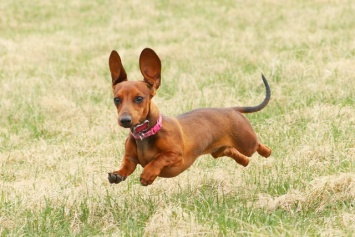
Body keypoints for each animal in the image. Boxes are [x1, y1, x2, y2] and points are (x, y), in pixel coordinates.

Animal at [107, 48, 272, 185]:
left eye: (139, 98)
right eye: (116, 99)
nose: (125, 120)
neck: (145, 135)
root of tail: (231, 109)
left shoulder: (176, 156)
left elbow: (158, 159)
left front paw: (148, 174)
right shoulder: (130, 159)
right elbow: (126, 165)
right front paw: (117, 174)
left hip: (247, 143)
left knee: (257, 145)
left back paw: (267, 152)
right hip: (218, 151)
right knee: (231, 151)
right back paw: (243, 161)